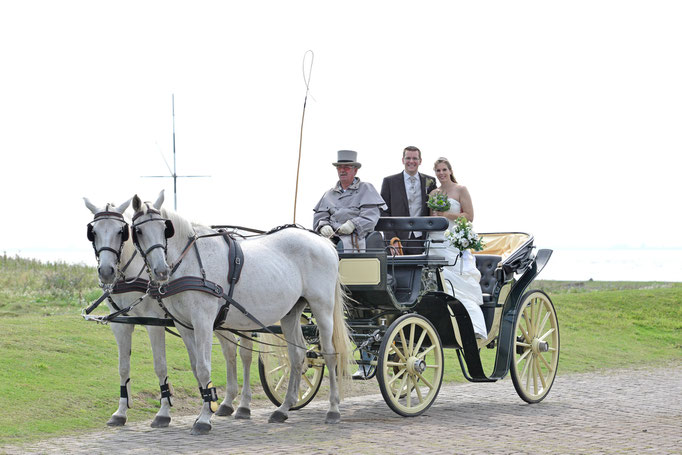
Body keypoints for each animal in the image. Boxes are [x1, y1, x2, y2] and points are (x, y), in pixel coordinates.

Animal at [83, 196, 254, 428]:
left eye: (121, 231)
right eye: (94, 232)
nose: (107, 271)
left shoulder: (153, 322)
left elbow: (160, 366)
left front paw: (163, 412)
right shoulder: (121, 325)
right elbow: (123, 367)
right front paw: (120, 412)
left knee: (246, 353)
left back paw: (244, 405)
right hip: (222, 319)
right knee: (229, 351)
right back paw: (227, 403)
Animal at [129, 192, 350, 434]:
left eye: (164, 228)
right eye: (138, 231)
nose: (161, 270)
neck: (190, 263)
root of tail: (324, 242)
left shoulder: (203, 321)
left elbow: (204, 368)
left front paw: (205, 418)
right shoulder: (184, 325)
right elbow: (196, 368)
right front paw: (204, 409)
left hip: (322, 308)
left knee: (329, 354)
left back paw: (333, 409)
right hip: (291, 313)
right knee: (297, 355)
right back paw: (283, 408)